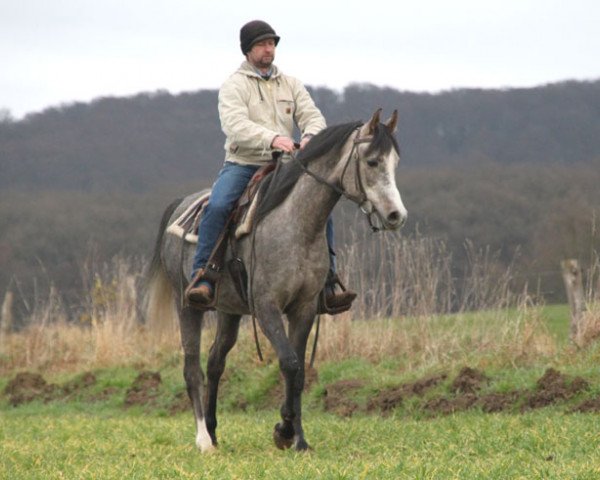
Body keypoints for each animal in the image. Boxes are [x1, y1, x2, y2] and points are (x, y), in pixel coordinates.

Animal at [146, 110, 408, 452]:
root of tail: (180, 205)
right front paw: (285, 431)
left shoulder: (304, 308)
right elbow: (289, 363)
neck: (294, 224)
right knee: (192, 367)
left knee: (216, 361)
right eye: (372, 161)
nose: (396, 216)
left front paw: (297, 438)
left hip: (229, 310)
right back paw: (203, 440)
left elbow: (299, 372)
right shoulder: (266, 307)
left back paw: (214, 433)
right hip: (187, 305)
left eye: (395, 162)